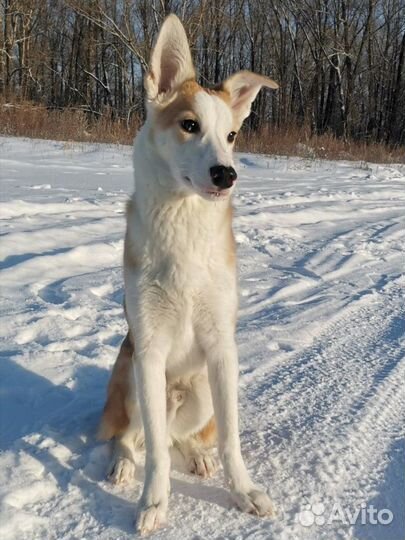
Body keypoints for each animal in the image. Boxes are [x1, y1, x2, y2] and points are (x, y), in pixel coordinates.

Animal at [98, 13, 278, 536]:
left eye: (232, 136)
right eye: (189, 125)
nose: (226, 174)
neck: (184, 223)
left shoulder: (221, 348)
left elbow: (231, 439)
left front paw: (244, 492)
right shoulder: (150, 350)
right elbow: (155, 450)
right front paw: (154, 502)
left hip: (199, 391)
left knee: (184, 436)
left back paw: (197, 454)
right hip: (131, 379)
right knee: (132, 436)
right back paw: (122, 463)